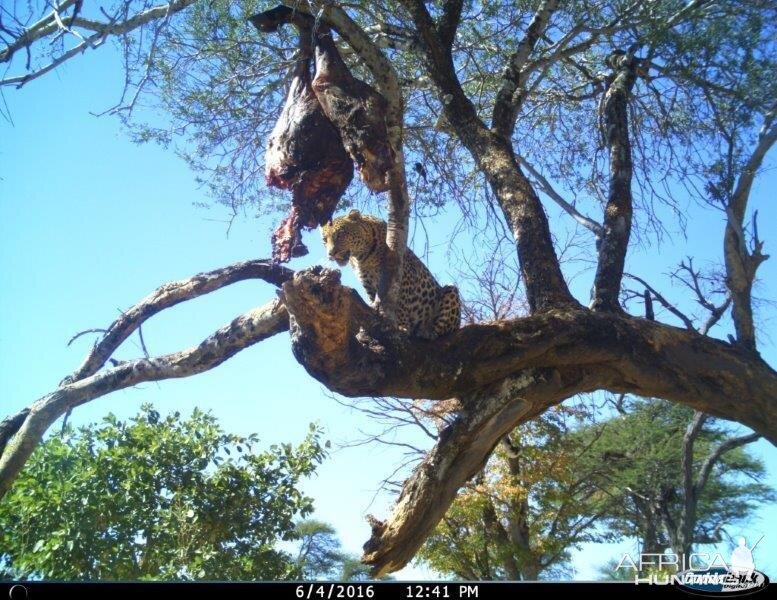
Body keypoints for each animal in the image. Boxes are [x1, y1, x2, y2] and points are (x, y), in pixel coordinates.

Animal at [318, 210, 458, 338]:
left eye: (340, 235)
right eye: (324, 240)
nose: (331, 254)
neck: (363, 257)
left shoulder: (403, 274)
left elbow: (401, 303)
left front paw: (401, 326)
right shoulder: (368, 285)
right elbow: (373, 301)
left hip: (451, 291)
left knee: (441, 330)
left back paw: (425, 330)